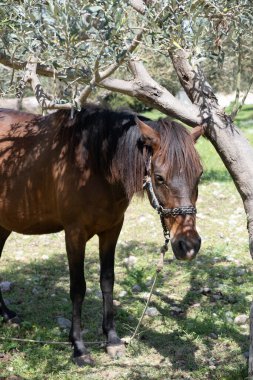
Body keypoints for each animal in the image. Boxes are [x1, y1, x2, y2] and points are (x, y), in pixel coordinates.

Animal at [0, 104, 202, 366]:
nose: (188, 245)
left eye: (199, 175)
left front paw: (112, 339)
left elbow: (108, 280)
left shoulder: (112, 229)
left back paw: (7, 314)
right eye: (159, 177)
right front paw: (78, 346)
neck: (95, 164)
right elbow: (78, 288)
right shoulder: (74, 234)